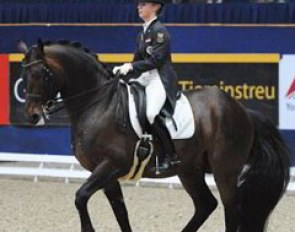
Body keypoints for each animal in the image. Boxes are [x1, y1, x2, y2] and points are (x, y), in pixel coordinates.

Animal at [18, 40, 292, 232]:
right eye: (24, 76)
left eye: (40, 74)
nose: (32, 116)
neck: (98, 104)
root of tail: (243, 110)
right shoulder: (104, 173)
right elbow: (120, 211)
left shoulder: (111, 165)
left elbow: (80, 197)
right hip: (190, 170)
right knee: (206, 205)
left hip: (224, 169)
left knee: (230, 210)